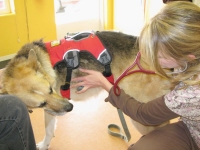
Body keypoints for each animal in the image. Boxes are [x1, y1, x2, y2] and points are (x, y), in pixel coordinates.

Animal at [0, 30, 171, 149]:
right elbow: (49, 129)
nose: (70, 107)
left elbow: (48, 129)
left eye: (50, 88)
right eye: (41, 104)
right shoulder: (50, 109)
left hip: (142, 119)